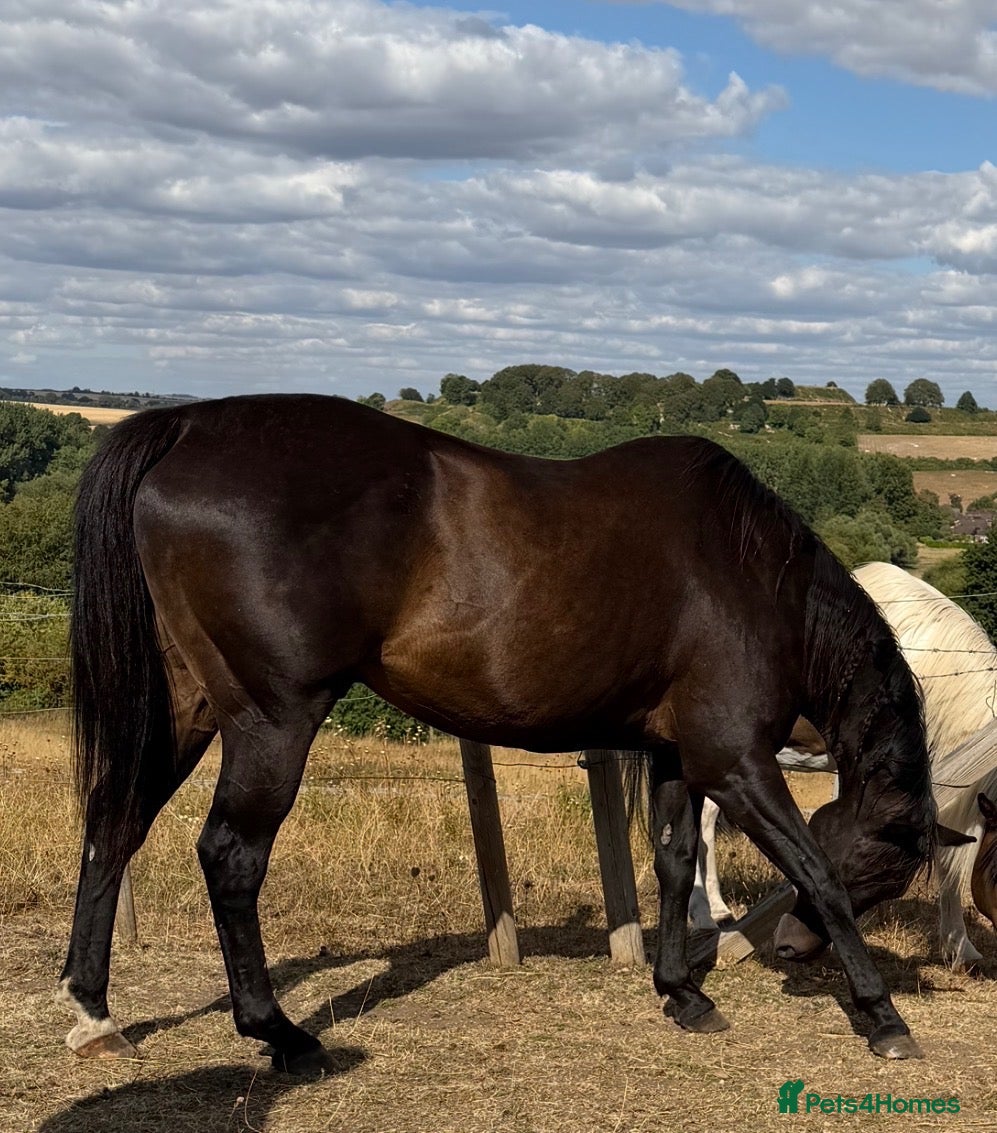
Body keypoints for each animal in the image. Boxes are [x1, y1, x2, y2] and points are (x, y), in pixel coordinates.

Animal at [60, 393, 939, 1071]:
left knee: (114, 821)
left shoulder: (673, 753)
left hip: (186, 708)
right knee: (229, 856)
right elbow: (809, 868)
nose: (789, 950)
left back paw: (95, 1011)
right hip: (271, 720)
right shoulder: (734, 760)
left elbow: (672, 859)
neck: (751, 577)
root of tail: (189, 423)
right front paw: (881, 1015)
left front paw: (682, 992)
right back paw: (279, 1032)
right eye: (883, 867)